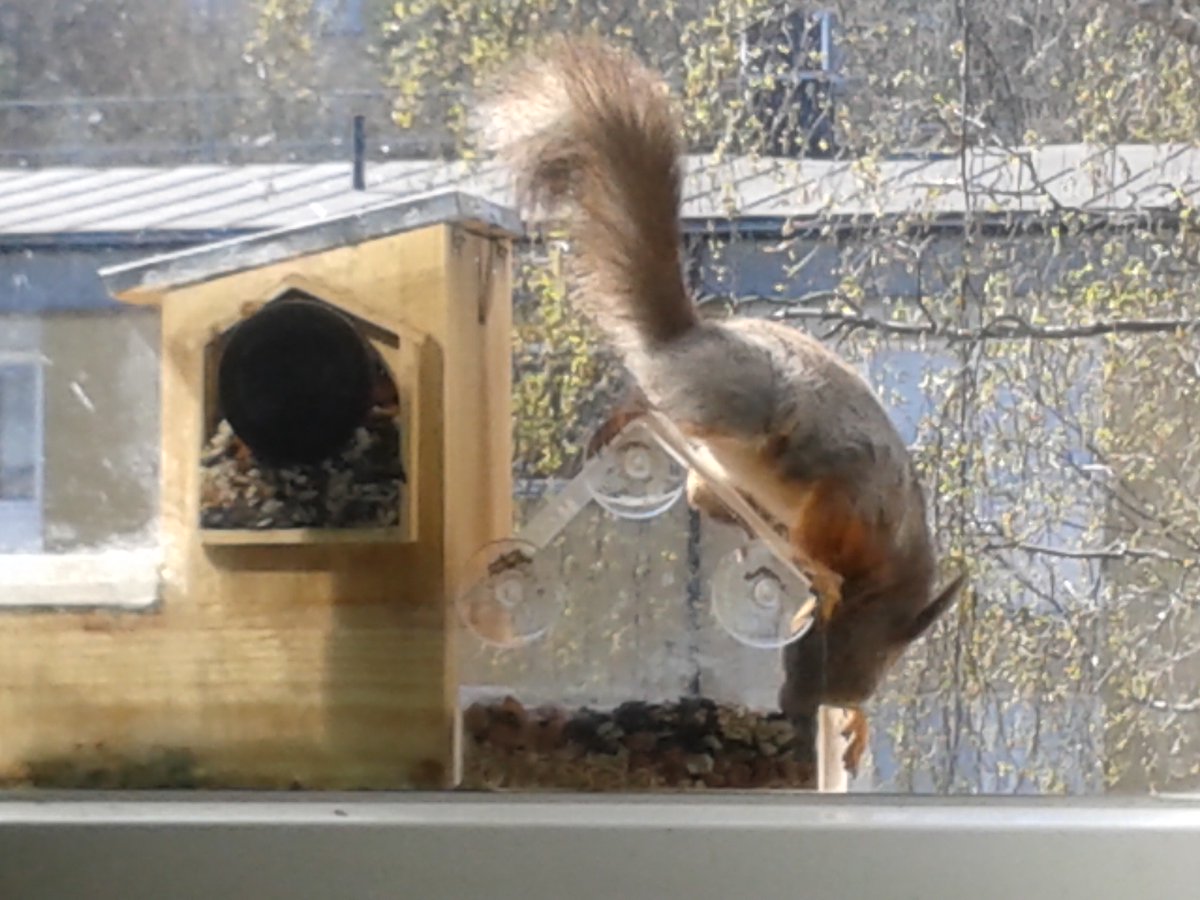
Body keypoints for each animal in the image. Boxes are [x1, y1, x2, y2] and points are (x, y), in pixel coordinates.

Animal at [475, 35, 966, 775]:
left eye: (869, 671)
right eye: (824, 645)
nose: (806, 708)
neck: (887, 569)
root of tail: (686, 339)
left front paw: (856, 727)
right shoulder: (850, 498)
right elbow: (813, 541)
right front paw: (818, 573)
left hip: (722, 458)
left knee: (702, 495)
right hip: (740, 407)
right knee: (661, 409)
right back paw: (626, 417)